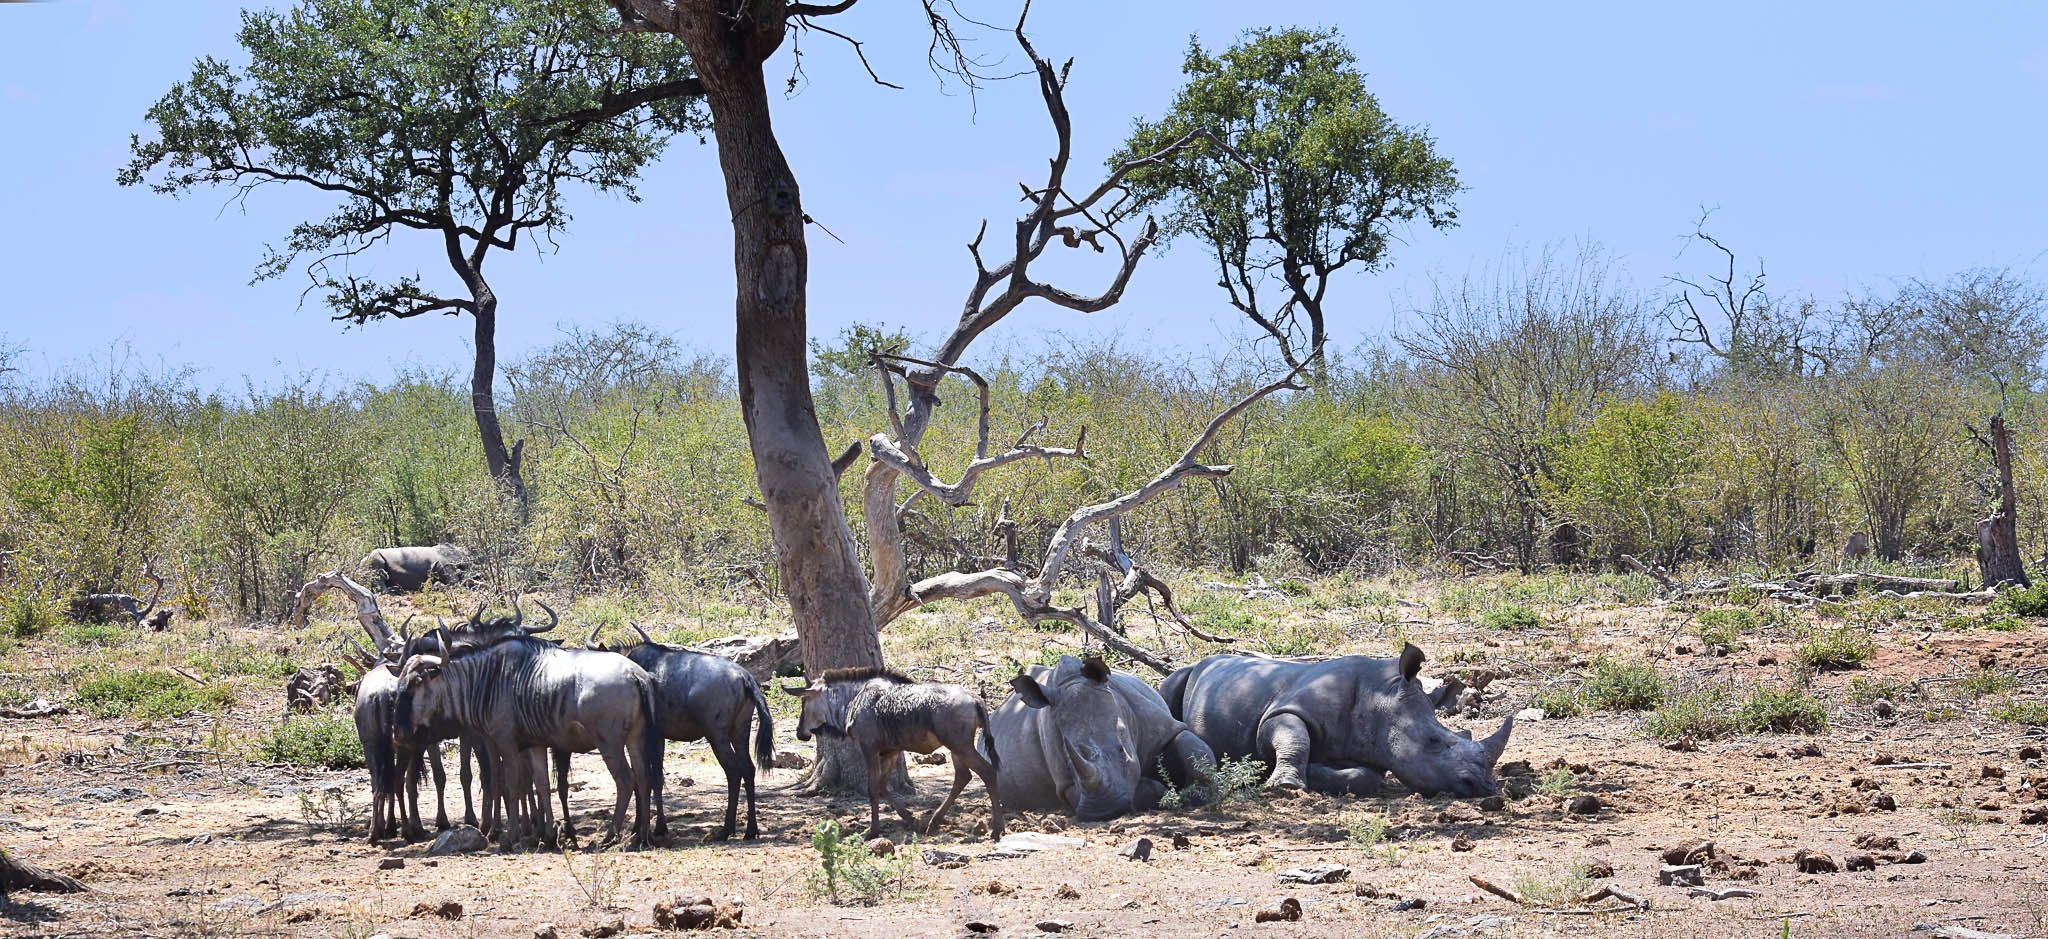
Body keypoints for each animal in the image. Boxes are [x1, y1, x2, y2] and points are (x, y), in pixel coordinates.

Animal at [985, 655, 1218, 821]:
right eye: (1068, 764)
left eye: (1122, 751)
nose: (1104, 811)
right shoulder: (1064, 784)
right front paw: (1161, 791)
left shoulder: (1162, 725)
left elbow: (1193, 749)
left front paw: (1198, 795)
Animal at [1159, 645, 1513, 798]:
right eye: (1434, 742)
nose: (1484, 787)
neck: (1381, 695)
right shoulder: (1284, 711)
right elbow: (1295, 739)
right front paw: (1286, 785)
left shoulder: (1375, 749)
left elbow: (1365, 776)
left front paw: (1316, 773)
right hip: (1188, 673)